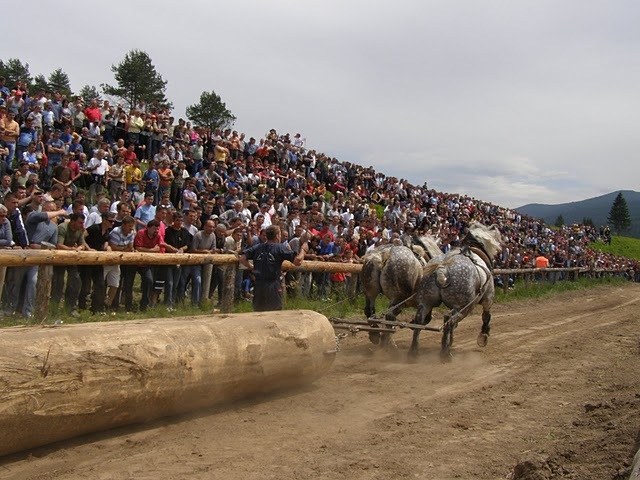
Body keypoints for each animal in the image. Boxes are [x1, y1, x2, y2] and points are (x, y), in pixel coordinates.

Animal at [410, 223, 504, 358]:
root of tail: (442, 269)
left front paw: (451, 340)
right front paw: (483, 336)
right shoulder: (488, 298)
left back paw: (414, 351)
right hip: (464, 306)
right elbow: (486, 316)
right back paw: (445, 353)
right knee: (449, 319)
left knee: (420, 320)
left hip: (426, 301)